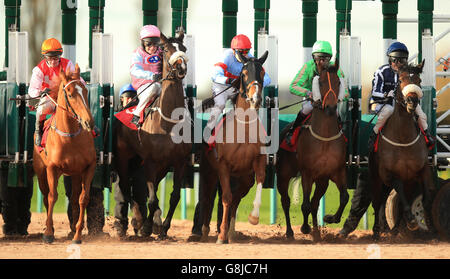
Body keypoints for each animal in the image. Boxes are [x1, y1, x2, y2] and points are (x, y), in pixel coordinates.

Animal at [33, 64, 96, 244]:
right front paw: (48, 233)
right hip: (40, 171)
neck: (70, 137)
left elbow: (83, 198)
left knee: (74, 198)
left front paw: (77, 235)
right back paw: (50, 228)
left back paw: (72, 229)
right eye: (70, 94)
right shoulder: (52, 169)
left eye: (85, 91)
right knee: (46, 195)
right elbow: (52, 197)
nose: (89, 122)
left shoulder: (89, 168)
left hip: (74, 174)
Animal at [113, 31, 191, 240]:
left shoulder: (179, 161)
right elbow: (152, 198)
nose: (181, 68)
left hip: (159, 166)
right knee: (126, 188)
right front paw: (147, 225)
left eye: (184, 48)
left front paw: (162, 227)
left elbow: (173, 197)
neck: (168, 122)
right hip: (124, 158)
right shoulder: (150, 161)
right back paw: (134, 222)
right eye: (166, 49)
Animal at [200, 50, 268, 245]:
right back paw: (206, 230)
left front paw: (253, 217)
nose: (255, 98)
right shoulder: (222, 166)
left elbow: (260, 181)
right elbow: (226, 198)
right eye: (243, 74)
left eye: (262, 73)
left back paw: (231, 231)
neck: (243, 128)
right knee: (208, 197)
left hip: (244, 178)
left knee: (237, 198)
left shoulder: (258, 161)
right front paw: (221, 236)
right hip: (209, 171)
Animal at [278, 62, 348, 242]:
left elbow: (344, 197)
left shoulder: (336, 172)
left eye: (338, 82)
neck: (325, 138)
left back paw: (316, 232)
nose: (330, 108)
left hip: (322, 180)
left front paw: (330, 218)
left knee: (315, 202)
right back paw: (290, 232)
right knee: (286, 201)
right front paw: (304, 228)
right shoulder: (307, 173)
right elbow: (305, 205)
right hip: (283, 174)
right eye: (321, 82)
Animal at [370, 61, 436, 241]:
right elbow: (399, 193)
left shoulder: (422, 170)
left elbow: (427, 198)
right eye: (400, 80)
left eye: (419, 80)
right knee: (378, 200)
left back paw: (395, 230)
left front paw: (428, 228)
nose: (412, 100)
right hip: (377, 177)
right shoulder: (389, 174)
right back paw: (377, 231)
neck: (403, 139)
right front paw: (412, 220)